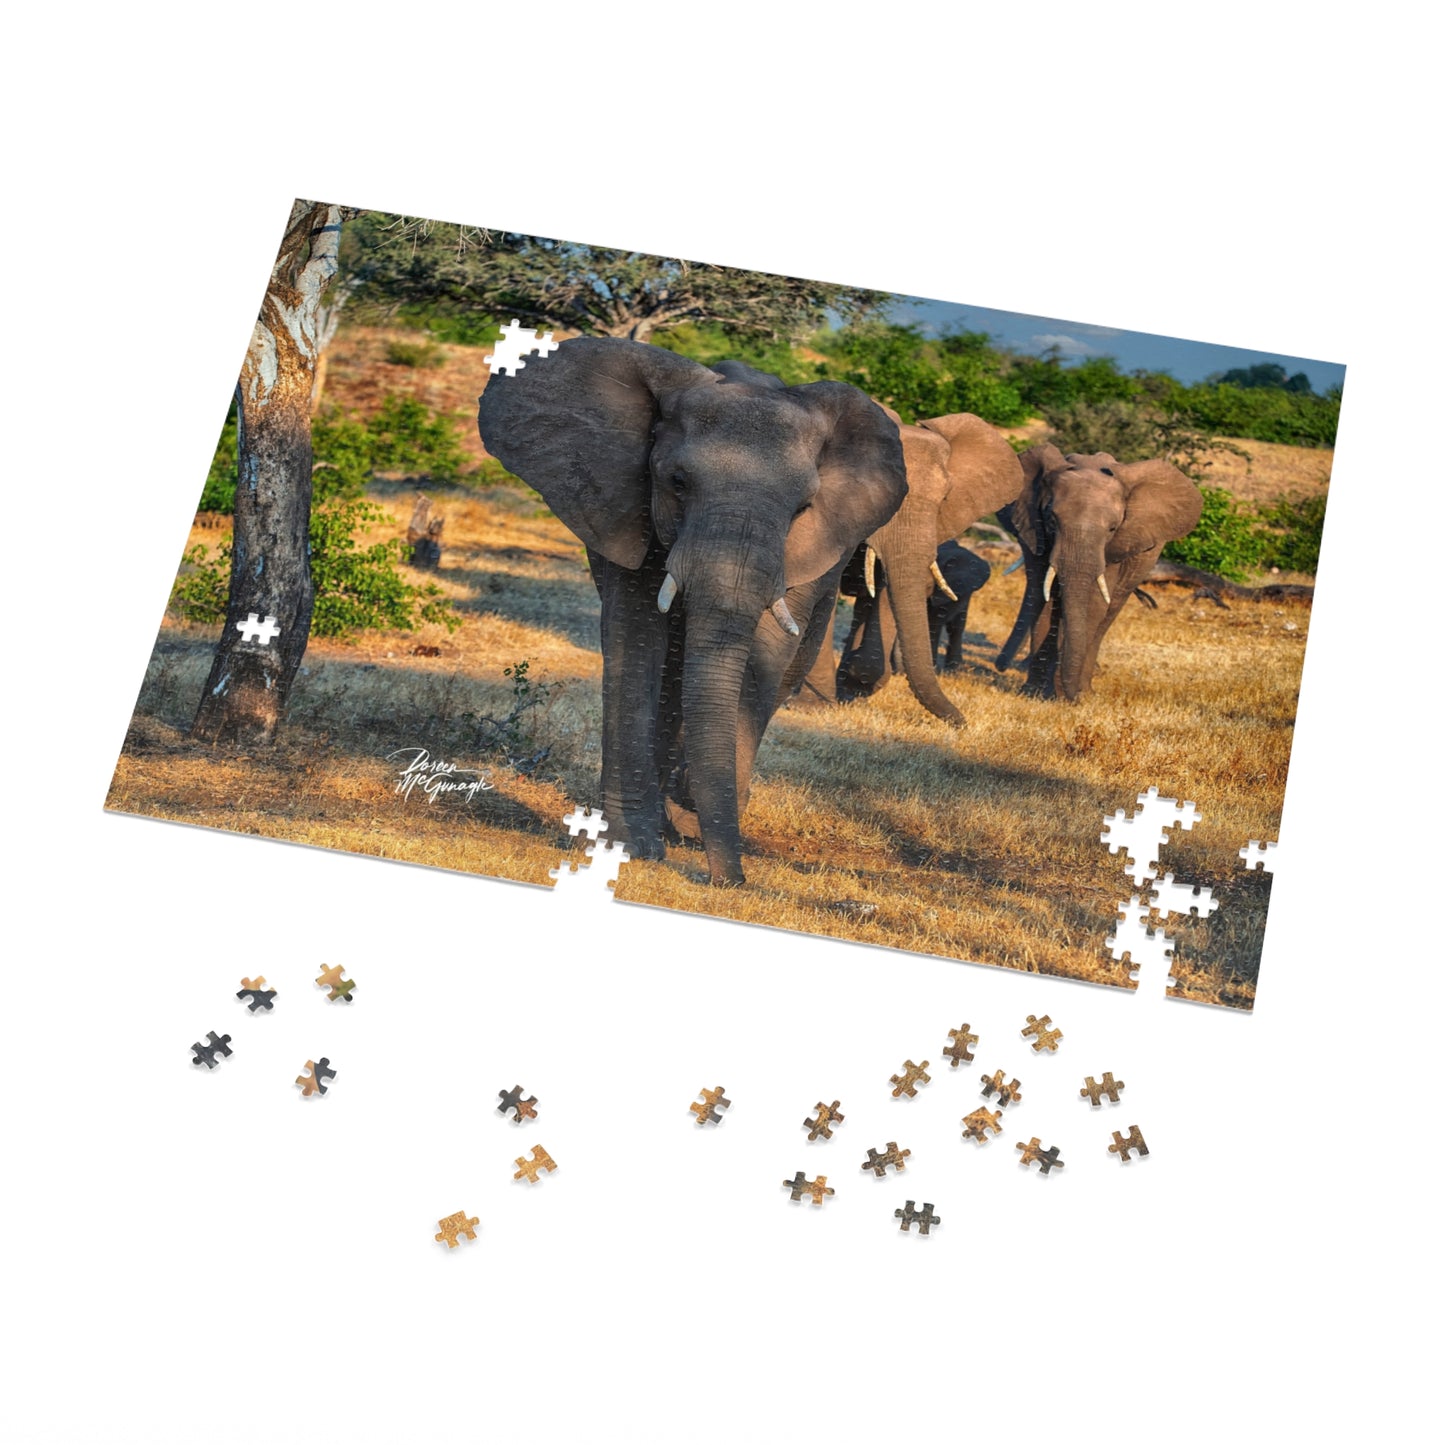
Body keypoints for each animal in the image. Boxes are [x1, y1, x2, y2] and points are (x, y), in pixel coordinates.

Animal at [476, 337, 908, 885]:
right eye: (677, 482)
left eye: (802, 508)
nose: (731, 881)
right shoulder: (628, 506)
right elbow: (637, 637)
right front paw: (633, 846)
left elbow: (764, 649)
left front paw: (688, 816)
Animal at [997, 444, 1203, 700]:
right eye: (1052, 522)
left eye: (1112, 529)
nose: (1000, 666)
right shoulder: (1036, 531)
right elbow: (1045, 598)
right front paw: (1035, 694)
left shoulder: (1115, 547)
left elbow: (1093, 603)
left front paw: (1070, 697)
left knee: (1109, 612)